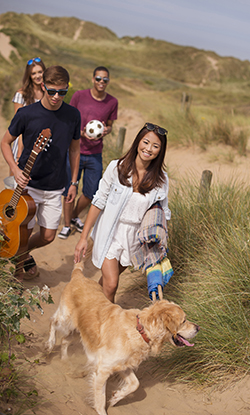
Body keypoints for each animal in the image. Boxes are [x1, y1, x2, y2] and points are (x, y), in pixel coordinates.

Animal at [45, 264, 199, 415]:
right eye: (184, 320)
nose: (198, 327)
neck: (140, 331)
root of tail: (78, 274)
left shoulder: (123, 365)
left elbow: (135, 384)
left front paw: (116, 397)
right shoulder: (103, 369)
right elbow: (100, 399)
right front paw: (103, 408)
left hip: (79, 331)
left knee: (64, 340)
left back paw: (67, 363)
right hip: (66, 321)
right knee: (53, 321)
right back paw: (49, 345)